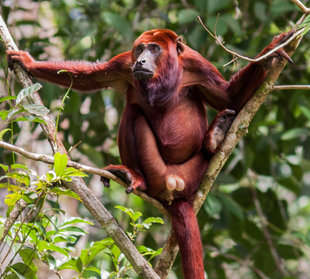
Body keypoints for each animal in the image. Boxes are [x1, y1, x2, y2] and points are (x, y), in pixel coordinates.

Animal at [7, 29, 294, 279]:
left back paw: (214, 138)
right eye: (140, 49)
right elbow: (93, 78)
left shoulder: (195, 62)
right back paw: (136, 176)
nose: (142, 60)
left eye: (155, 48)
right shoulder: (124, 64)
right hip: (159, 172)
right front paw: (29, 63)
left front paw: (269, 54)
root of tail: (173, 184)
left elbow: (227, 97)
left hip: (193, 173)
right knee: (133, 112)